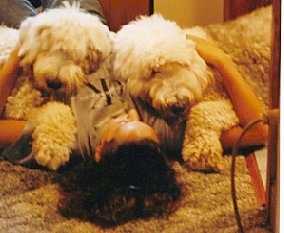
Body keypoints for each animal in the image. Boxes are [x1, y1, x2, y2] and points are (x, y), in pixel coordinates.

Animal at [3, 3, 112, 169]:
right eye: (48, 48)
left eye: (75, 55)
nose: (53, 83)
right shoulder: (15, 107)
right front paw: (52, 148)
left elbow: (59, 110)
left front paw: (53, 146)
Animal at [113, 14, 240, 171]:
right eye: (153, 71)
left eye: (181, 63)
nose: (179, 105)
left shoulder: (223, 98)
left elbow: (202, 111)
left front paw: (201, 152)